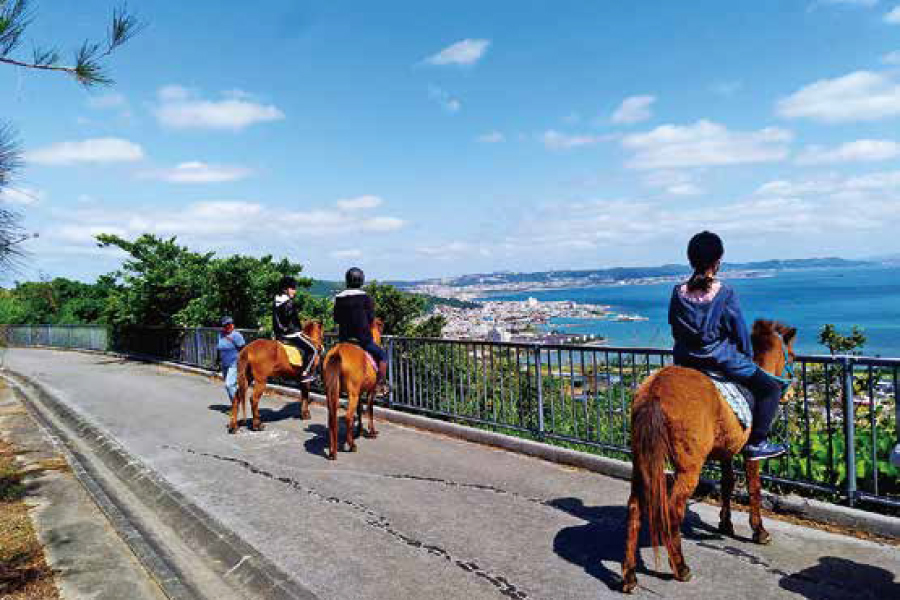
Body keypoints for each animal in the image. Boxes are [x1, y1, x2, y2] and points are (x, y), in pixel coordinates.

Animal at [321, 318, 384, 460]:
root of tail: (337, 351)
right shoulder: (371, 390)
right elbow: (370, 409)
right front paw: (371, 431)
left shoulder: (360, 391)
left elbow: (360, 409)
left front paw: (359, 430)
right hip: (352, 393)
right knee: (348, 417)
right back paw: (351, 445)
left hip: (332, 391)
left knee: (331, 416)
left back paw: (332, 451)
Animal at [621, 319, 796, 593]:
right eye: (793, 356)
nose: (790, 394)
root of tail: (654, 392)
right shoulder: (749, 453)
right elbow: (754, 488)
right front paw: (759, 531)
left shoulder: (726, 451)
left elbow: (727, 484)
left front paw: (726, 523)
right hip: (688, 468)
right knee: (672, 510)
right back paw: (680, 568)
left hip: (642, 461)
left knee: (635, 508)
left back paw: (629, 575)